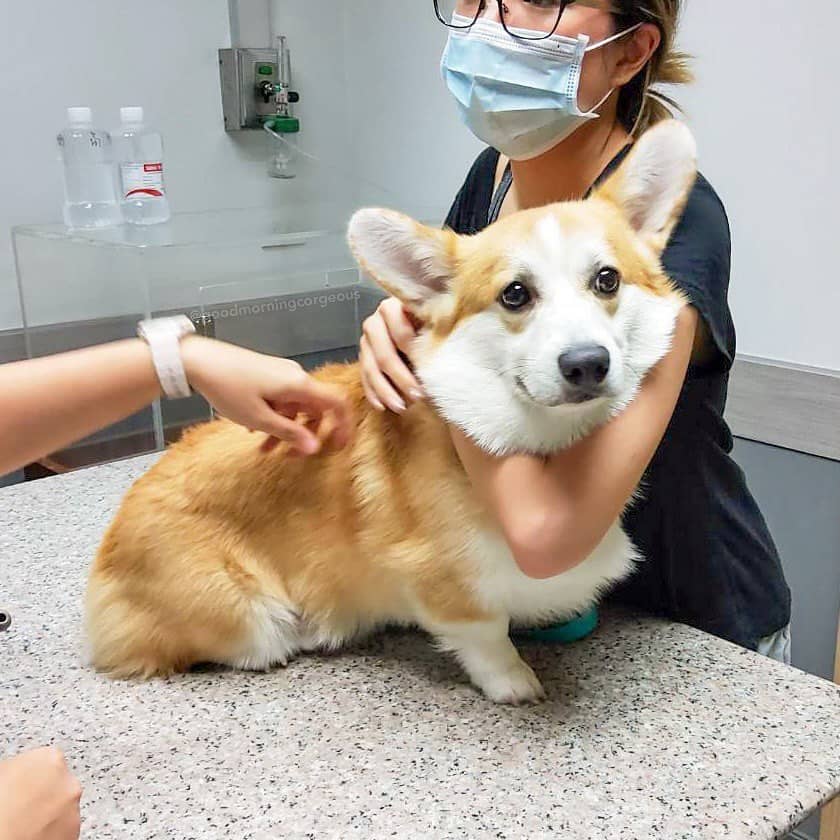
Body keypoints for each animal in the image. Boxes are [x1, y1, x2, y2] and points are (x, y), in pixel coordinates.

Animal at [87, 120, 696, 704]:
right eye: (515, 294)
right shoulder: (445, 582)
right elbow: (486, 632)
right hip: (251, 619)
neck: (545, 436)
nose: (587, 364)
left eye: (607, 279)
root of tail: (105, 562)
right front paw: (513, 680)